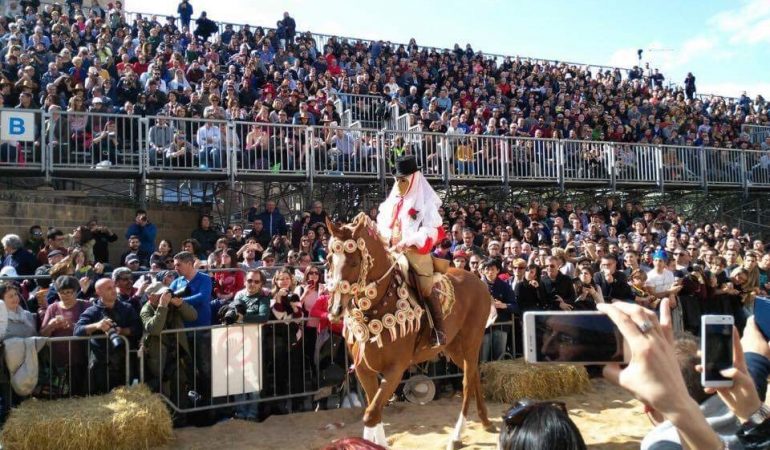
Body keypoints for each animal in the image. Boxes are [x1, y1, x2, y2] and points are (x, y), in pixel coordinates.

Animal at [322, 214, 492, 450]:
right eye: (330, 259)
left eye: (354, 262)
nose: (335, 309)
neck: (378, 305)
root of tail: (480, 282)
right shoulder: (364, 370)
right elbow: (374, 412)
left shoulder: (396, 368)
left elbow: (371, 414)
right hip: (453, 347)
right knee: (474, 374)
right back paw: (485, 420)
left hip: (471, 341)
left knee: (467, 382)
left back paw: (457, 435)